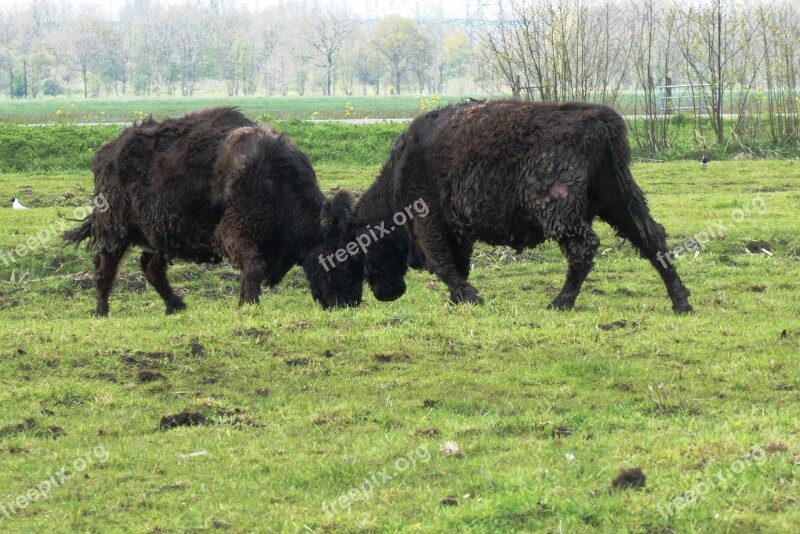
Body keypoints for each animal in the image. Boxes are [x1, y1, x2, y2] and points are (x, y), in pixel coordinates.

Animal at [64, 107, 358, 316]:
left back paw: (176, 306)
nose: (349, 302)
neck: (277, 181)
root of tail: (107, 151)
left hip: (159, 235)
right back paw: (102, 311)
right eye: (339, 257)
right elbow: (254, 267)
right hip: (114, 228)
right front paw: (248, 304)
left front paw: (245, 302)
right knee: (106, 266)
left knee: (150, 266)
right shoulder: (232, 233)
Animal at [306, 100, 692, 314]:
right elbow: (457, 264)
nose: (336, 303)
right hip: (619, 198)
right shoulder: (455, 230)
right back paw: (681, 302)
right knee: (651, 238)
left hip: (559, 208)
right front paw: (459, 298)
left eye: (341, 256)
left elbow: (443, 264)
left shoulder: (428, 220)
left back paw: (560, 302)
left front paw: (470, 298)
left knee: (584, 248)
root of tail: (596, 117)